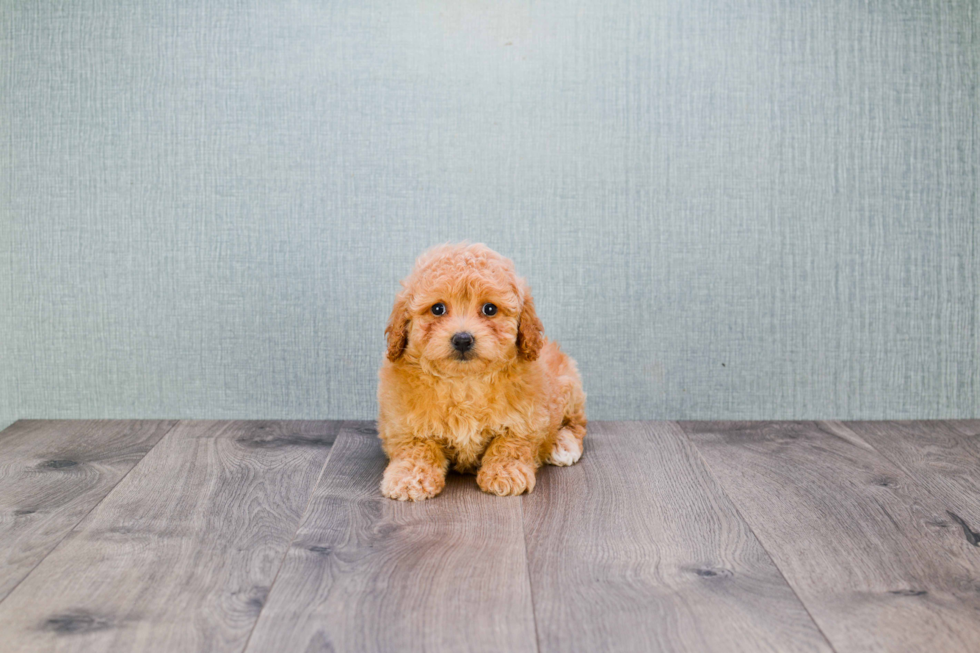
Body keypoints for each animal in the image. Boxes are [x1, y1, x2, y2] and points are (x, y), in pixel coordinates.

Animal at [378, 242, 584, 502]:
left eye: (490, 309)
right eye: (437, 308)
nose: (463, 339)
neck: (464, 382)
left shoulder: (525, 419)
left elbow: (510, 444)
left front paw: (505, 473)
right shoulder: (404, 423)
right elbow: (416, 448)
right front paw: (410, 478)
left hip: (569, 385)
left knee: (576, 424)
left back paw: (562, 445)